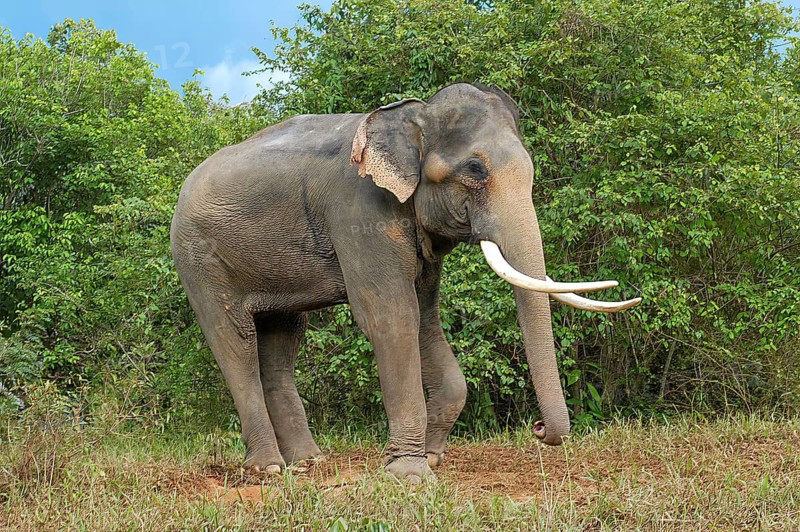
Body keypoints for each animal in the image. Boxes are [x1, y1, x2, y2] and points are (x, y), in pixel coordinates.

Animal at [170, 83, 640, 482]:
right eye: (475, 169)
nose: (539, 429)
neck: (412, 115)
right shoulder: (359, 212)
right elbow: (391, 317)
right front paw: (410, 476)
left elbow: (425, 320)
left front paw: (430, 459)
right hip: (198, 258)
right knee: (234, 341)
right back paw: (268, 469)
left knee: (282, 340)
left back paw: (308, 462)